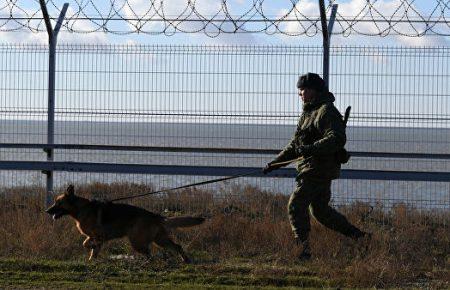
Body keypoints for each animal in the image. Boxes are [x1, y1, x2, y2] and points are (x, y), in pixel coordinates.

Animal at [45, 186, 204, 262]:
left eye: (58, 203)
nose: (47, 211)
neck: (80, 209)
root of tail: (155, 216)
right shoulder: (94, 236)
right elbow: (88, 245)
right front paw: (92, 260)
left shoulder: (99, 236)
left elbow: (89, 245)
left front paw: (92, 251)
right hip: (159, 239)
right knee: (176, 246)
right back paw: (185, 260)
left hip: (137, 241)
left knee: (150, 253)